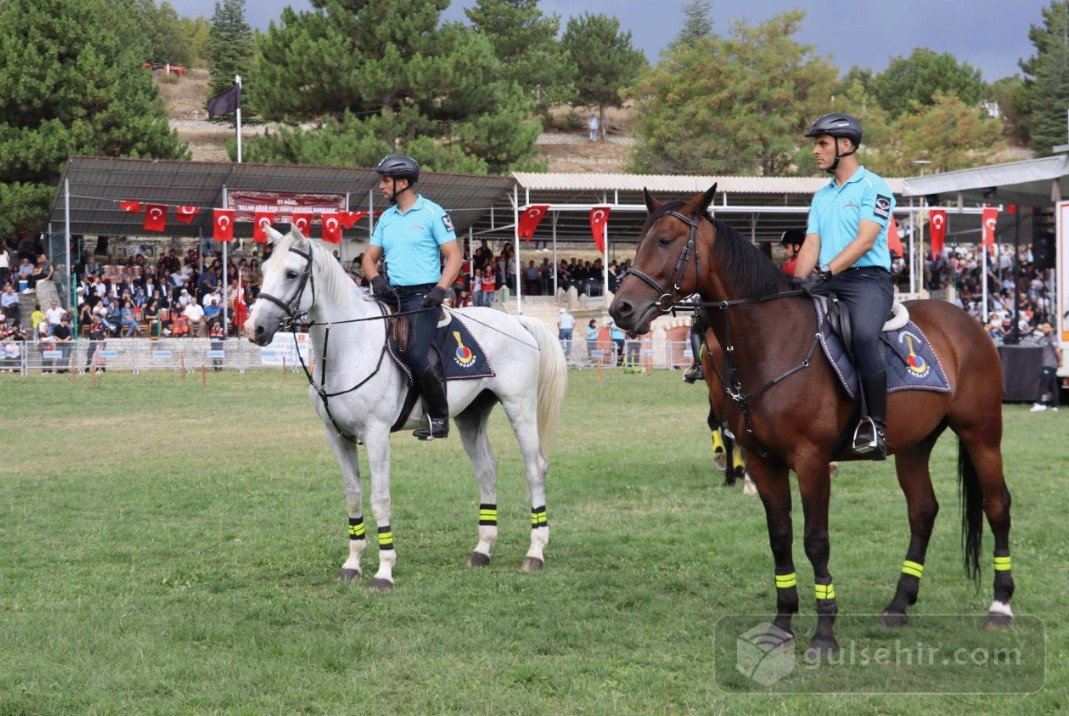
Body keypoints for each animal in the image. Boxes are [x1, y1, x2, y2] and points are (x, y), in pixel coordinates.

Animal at [245, 227, 568, 589]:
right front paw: (352, 564)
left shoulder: (376, 434)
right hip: (471, 416)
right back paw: (482, 549)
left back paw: (535, 552)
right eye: (264, 269)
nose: (253, 328)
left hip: (519, 407)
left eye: (291, 273)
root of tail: (517, 322)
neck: (350, 344)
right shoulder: (337, 436)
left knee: (535, 468)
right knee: (486, 470)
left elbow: (380, 499)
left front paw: (384, 571)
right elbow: (353, 494)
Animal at [611, 184, 1009, 658]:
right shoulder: (764, 462)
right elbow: (780, 536)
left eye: (666, 241)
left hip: (981, 434)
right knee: (923, 511)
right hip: (914, 445)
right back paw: (899, 604)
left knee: (997, 506)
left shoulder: (811, 460)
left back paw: (1000, 607)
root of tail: (969, 322)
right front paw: (781, 624)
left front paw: (824, 633)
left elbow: (816, 541)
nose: (621, 309)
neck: (771, 341)